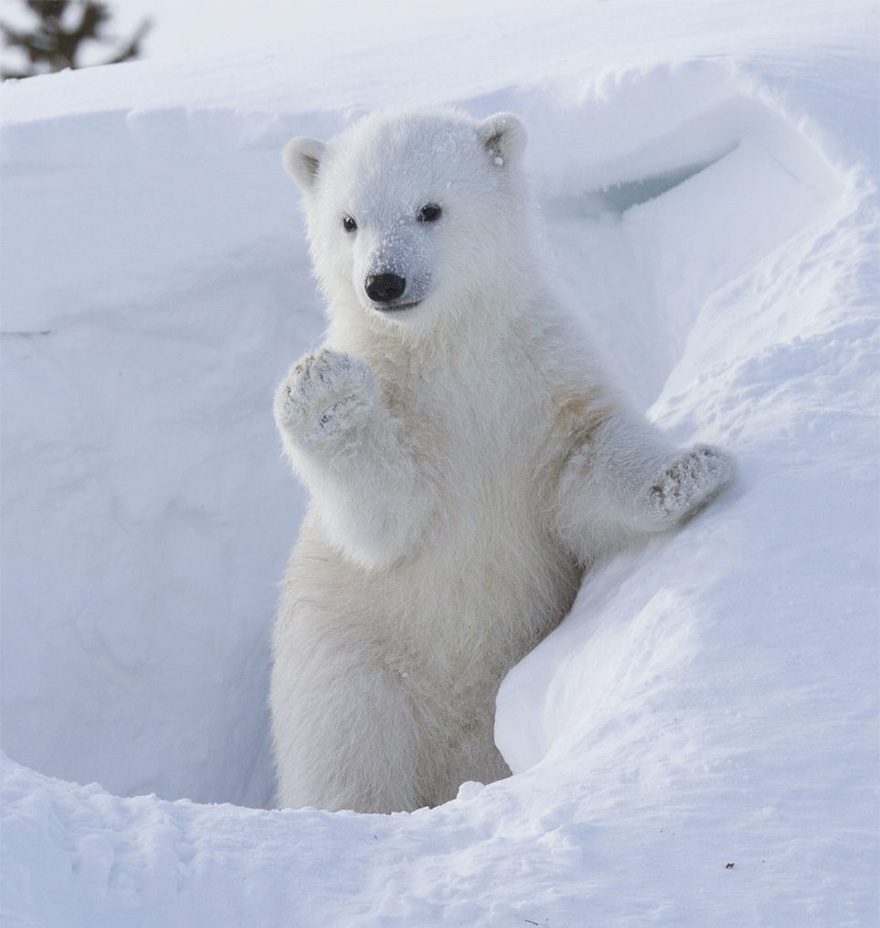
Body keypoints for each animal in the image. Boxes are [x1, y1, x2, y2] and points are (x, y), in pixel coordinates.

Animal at [270, 108, 734, 813]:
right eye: (348, 221)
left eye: (429, 208)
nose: (383, 282)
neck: (450, 349)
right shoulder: (408, 412)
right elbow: (388, 518)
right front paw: (324, 393)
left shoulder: (541, 374)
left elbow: (585, 462)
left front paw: (689, 472)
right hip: (352, 671)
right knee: (350, 762)